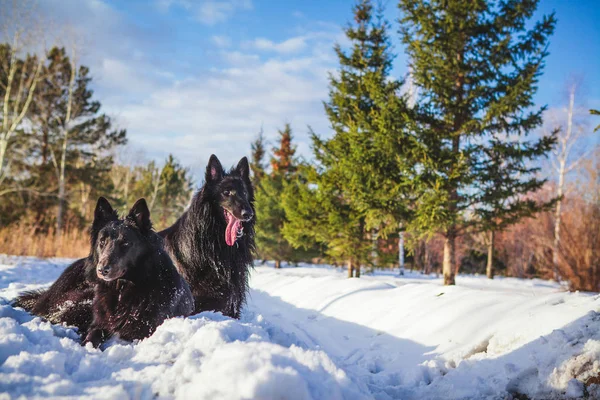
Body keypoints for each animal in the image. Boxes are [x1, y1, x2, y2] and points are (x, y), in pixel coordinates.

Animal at [82, 197, 193, 346]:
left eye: (125, 243)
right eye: (102, 241)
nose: (102, 270)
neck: (122, 289)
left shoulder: (141, 331)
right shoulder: (99, 324)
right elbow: (92, 335)